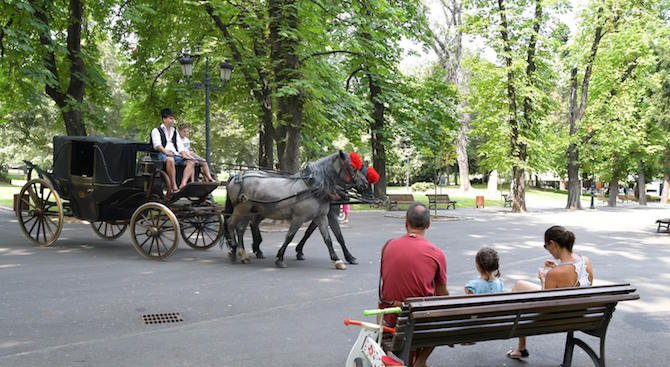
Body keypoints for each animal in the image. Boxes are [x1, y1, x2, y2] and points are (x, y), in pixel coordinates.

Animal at [226, 152, 372, 270]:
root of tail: (236, 176)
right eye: (353, 168)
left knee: (240, 228)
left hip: (250, 211)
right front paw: (280, 258)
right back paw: (234, 248)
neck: (313, 188)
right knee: (230, 224)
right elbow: (290, 237)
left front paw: (337, 260)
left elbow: (328, 239)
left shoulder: (321, 217)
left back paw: (243, 253)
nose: (365, 185)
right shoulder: (299, 217)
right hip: (242, 210)